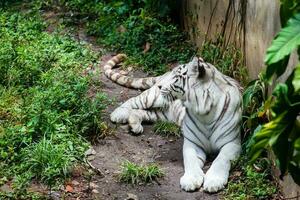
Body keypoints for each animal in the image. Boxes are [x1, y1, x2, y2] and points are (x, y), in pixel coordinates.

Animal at [103, 54, 241, 193]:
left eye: (176, 77)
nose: (160, 86)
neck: (204, 112)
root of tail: (164, 73)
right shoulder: (192, 142)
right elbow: (190, 159)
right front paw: (191, 180)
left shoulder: (232, 143)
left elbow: (221, 159)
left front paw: (214, 181)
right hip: (154, 98)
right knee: (133, 100)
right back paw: (118, 114)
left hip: (163, 114)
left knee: (142, 112)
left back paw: (135, 124)